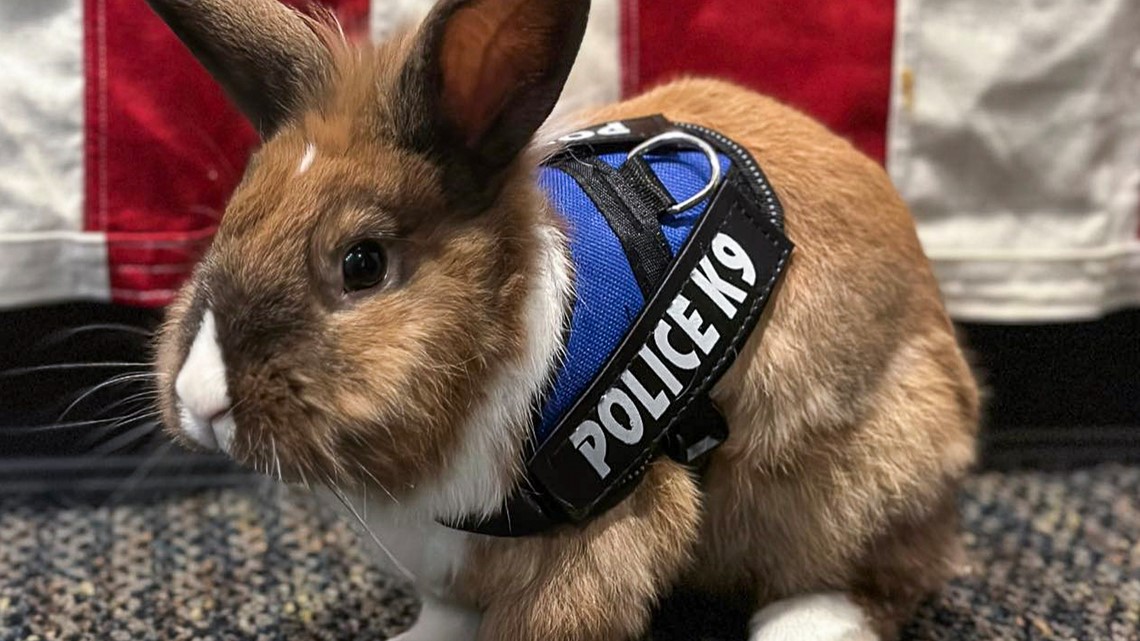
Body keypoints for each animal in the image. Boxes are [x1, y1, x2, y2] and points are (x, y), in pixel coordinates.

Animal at [149, 0, 980, 640]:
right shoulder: (445, 561)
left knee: (881, 573)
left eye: (362, 263)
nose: (199, 398)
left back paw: (806, 623)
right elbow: (446, 614)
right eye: (231, 221)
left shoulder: (596, 540)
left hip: (850, 480)